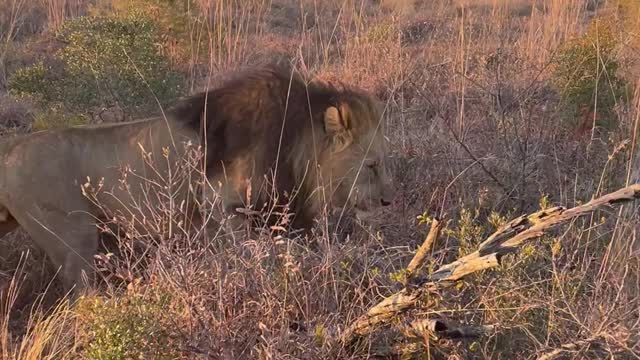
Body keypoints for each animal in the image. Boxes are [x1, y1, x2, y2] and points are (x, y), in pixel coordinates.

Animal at [0, 64, 396, 298]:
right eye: (372, 165)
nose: (389, 202)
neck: (297, 147)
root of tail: (11, 149)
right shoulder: (221, 205)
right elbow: (248, 256)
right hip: (74, 239)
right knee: (81, 291)